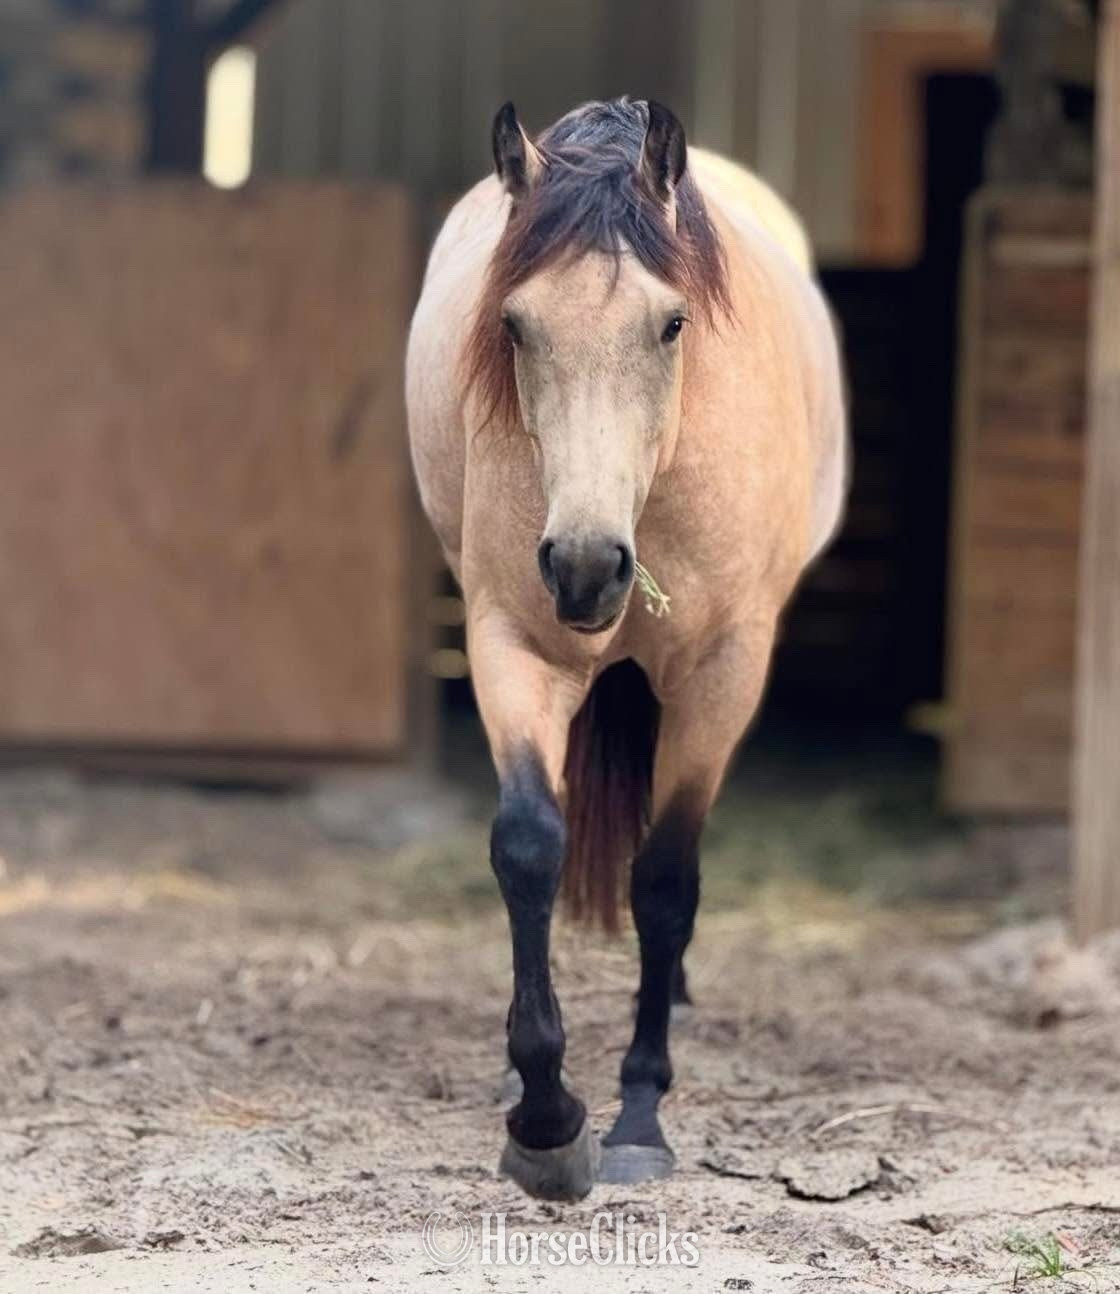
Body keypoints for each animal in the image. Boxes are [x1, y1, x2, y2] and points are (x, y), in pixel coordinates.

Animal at [406, 98, 847, 1201]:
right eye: (514, 325)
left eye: (671, 322)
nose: (585, 566)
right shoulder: (509, 642)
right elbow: (529, 845)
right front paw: (545, 1118)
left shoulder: (723, 671)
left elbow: (665, 880)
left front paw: (640, 1112)